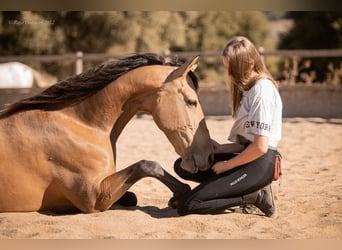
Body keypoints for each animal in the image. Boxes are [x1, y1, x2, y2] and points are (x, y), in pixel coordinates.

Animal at [0, 52, 214, 213]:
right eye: (191, 101)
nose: (209, 156)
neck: (83, 125)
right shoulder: (93, 198)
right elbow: (147, 165)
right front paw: (181, 193)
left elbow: (133, 196)